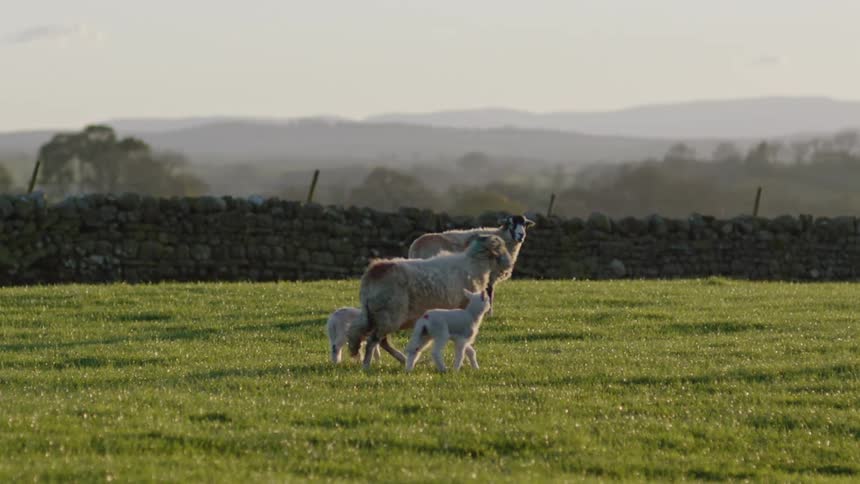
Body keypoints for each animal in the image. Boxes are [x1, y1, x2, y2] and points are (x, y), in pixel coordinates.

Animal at [347, 234, 513, 369]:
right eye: (501, 248)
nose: (509, 265)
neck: (473, 265)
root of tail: (373, 273)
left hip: (375, 315)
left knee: (366, 335)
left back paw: (403, 359)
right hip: (389, 315)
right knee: (373, 340)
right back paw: (367, 365)